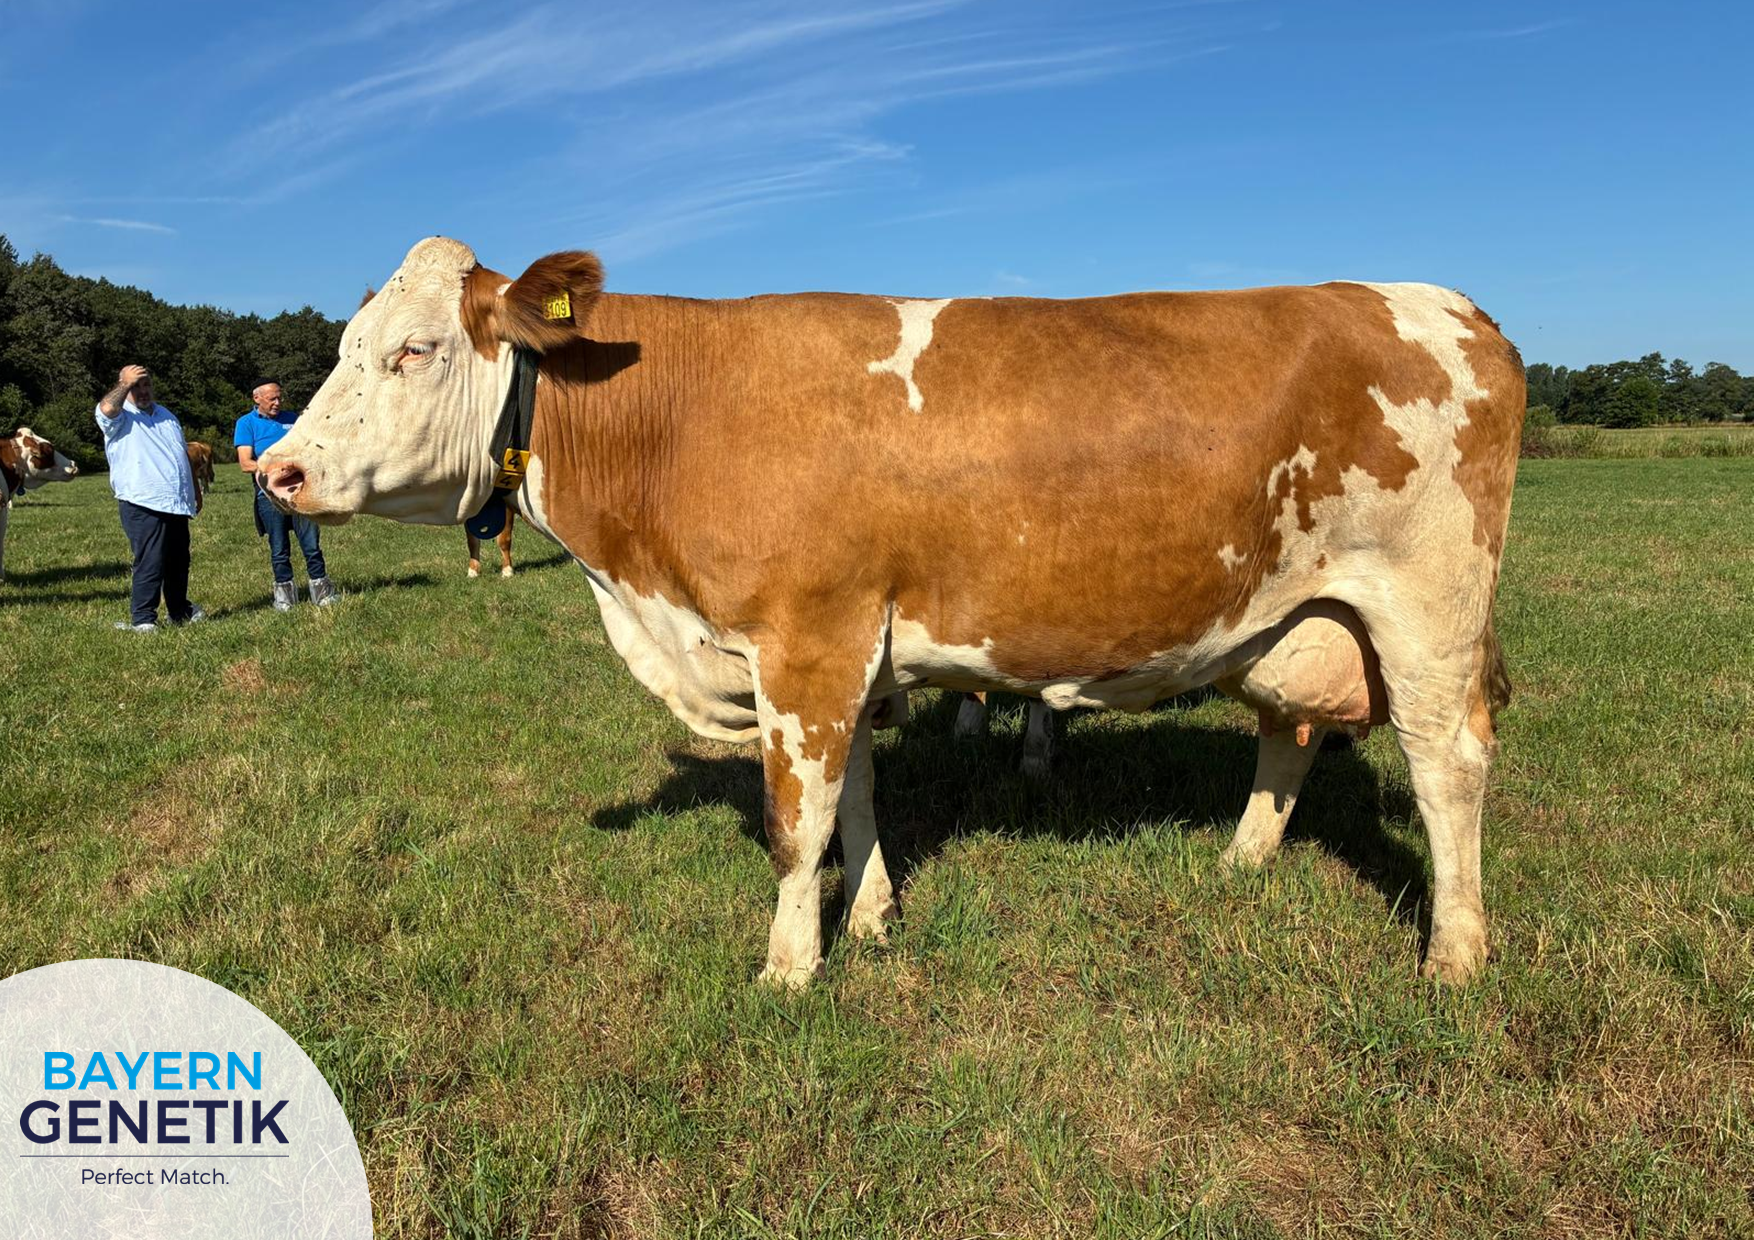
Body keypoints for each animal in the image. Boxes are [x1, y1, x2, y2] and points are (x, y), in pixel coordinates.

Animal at [260, 237, 1523, 988]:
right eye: (346, 343)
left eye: (414, 349)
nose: (280, 472)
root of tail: (1441, 300)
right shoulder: (843, 649)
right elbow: (857, 796)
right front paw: (867, 922)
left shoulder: (805, 640)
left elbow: (794, 822)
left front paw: (786, 971)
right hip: (1294, 614)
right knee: (1291, 729)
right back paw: (1240, 860)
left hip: (1425, 600)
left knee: (1445, 760)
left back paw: (1455, 954)